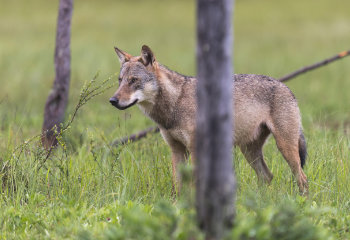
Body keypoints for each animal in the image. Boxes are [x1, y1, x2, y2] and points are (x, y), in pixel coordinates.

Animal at [109, 45, 308, 195]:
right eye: (120, 81)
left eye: (133, 80)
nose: (113, 100)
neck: (175, 103)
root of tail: (286, 87)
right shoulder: (177, 151)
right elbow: (177, 186)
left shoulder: (196, 150)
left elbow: (195, 183)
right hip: (249, 151)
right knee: (267, 176)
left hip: (284, 147)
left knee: (302, 178)